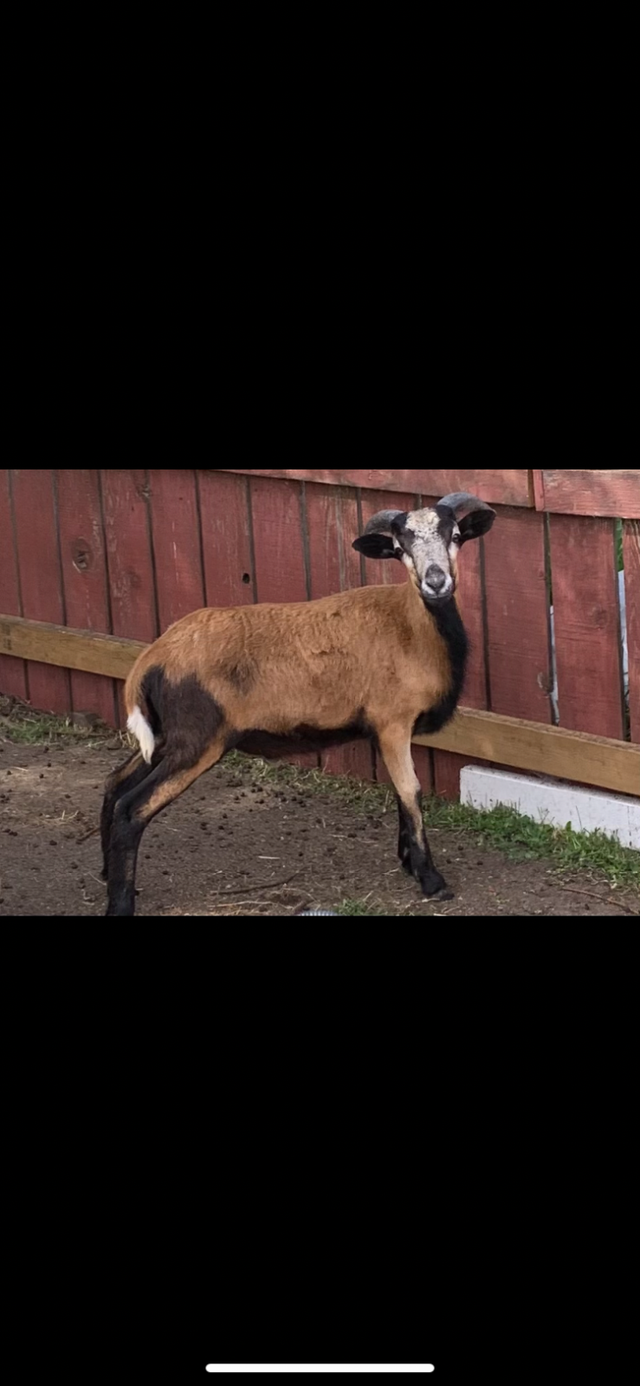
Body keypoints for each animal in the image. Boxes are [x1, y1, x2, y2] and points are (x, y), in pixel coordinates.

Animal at [100, 491, 496, 916]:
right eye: (400, 548)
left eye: (455, 536)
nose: (436, 582)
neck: (412, 628)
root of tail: (152, 658)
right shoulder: (392, 722)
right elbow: (411, 791)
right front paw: (431, 879)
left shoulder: (386, 729)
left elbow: (399, 791)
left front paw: (407, 861)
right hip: (197, 740)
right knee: (131, 809)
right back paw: (120, 902)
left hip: (165, 737)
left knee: (114, 783)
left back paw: (107, 874)